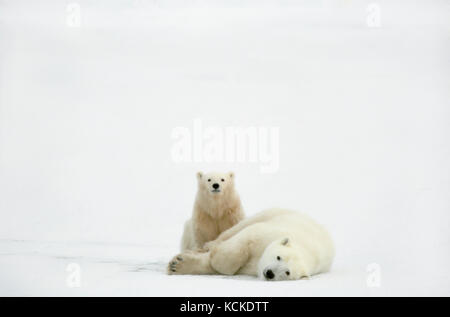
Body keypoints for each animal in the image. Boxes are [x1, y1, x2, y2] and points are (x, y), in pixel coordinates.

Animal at [169, 209, 334, 280]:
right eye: (278, 257)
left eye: (287, 272)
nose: (270, 273)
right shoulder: (269, 233)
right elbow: (245, 238)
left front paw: (178, 264)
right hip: (273, 213)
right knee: (236, 229)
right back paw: (209, 245)